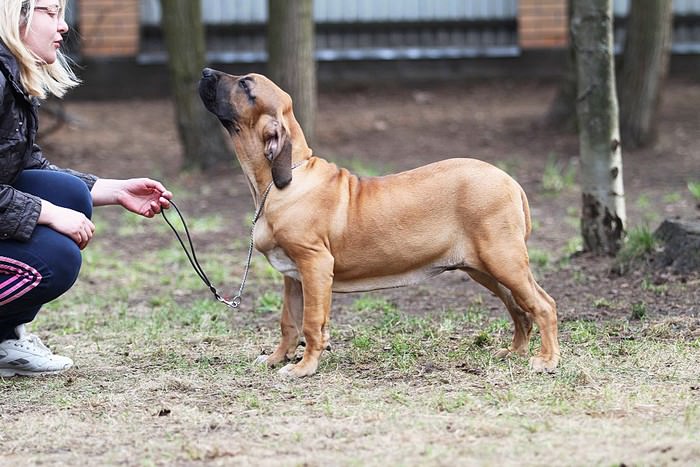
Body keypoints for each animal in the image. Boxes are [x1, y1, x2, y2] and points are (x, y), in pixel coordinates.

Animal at [200, 68, 560, 376]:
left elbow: (312, 323)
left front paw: (304, 367)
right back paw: (515, 352)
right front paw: (277, 358)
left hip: (503, 260)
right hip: (484, 269)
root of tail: (509, 180)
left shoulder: (314, 264)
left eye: (245, 85)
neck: (282, 179)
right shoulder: (294, 276)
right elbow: (289, 322)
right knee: (520, 310)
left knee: (543, 305)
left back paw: (547, 360)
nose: (205, 72)